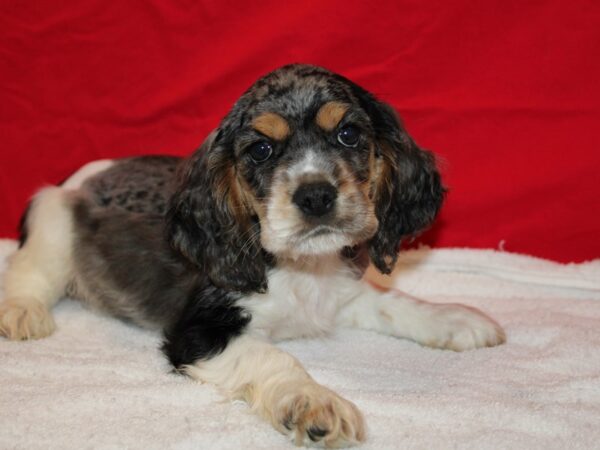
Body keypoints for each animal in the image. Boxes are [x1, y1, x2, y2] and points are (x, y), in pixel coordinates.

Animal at [0, 65, 504, 448]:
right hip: (53, 221)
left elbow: (394, 303)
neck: (299, 267)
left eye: (348, 134)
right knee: (27, 272)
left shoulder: (340, 294)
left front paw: (454, 318)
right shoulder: (198, 334)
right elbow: (274, 357)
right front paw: (313, 402)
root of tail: (87, 175)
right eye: (261, 149)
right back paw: (21, 312)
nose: (316, 196)